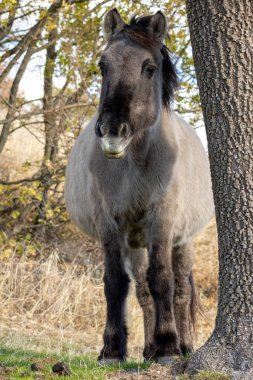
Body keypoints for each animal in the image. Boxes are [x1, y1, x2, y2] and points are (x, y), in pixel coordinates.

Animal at [64, 8, 213, 366]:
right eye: (103, 65)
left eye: (149, 68)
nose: (112, 131)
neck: (134, 165)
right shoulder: (110, 224)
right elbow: (116, 283)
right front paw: (112, 350)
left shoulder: (162, 221)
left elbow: (163, 281)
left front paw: (169, 346)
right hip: (134, 243)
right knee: (143, 291)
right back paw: (147, 349)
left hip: (183, 241)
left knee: (180, 290)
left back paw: (184, 346)